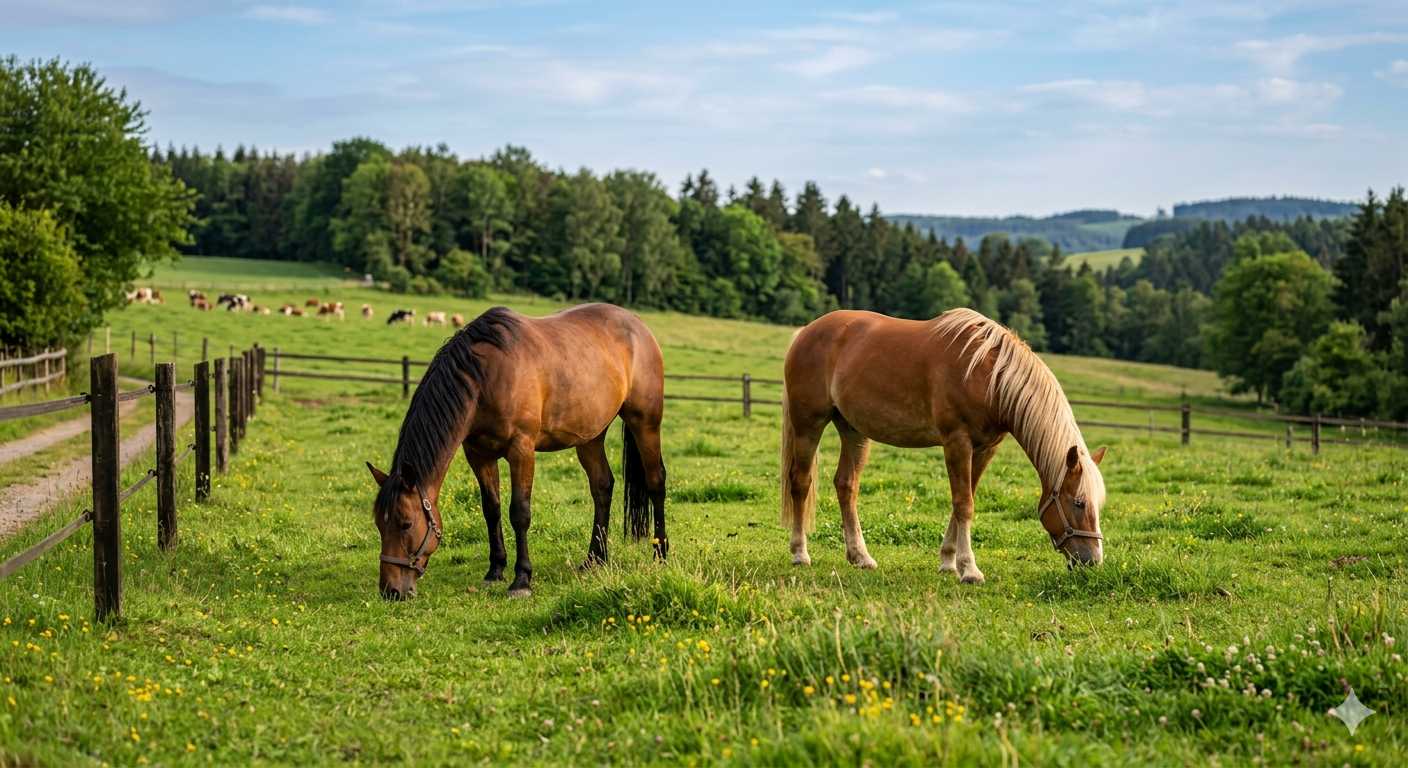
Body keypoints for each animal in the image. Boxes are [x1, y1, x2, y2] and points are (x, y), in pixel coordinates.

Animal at [367, 304, 668, 600]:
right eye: (379, 525)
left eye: (406, 524)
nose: (391, 591)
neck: (485, 377)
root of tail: (638, 326)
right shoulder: (478, 454)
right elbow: (492, 509)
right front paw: (495, 570)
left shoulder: (521, 450)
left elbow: (519, 512)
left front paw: (522, 579)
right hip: (590, 437)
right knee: (602, 487)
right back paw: (595, 559)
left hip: (645, 423)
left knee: (656, 482)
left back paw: (660, 553)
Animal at [780, 308, 1107, 584]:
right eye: (1079, 502)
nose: (1092, 561)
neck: (988, 375)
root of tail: (806, 331)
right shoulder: (957, 442)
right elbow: (964, 504)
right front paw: (970, 569)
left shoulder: (985, 449)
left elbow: (964, 499)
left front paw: (949, 561)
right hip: (808, 425)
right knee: (801, 482)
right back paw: (799, 553)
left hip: (853, 431)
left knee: (846, 485)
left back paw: (860, 556)